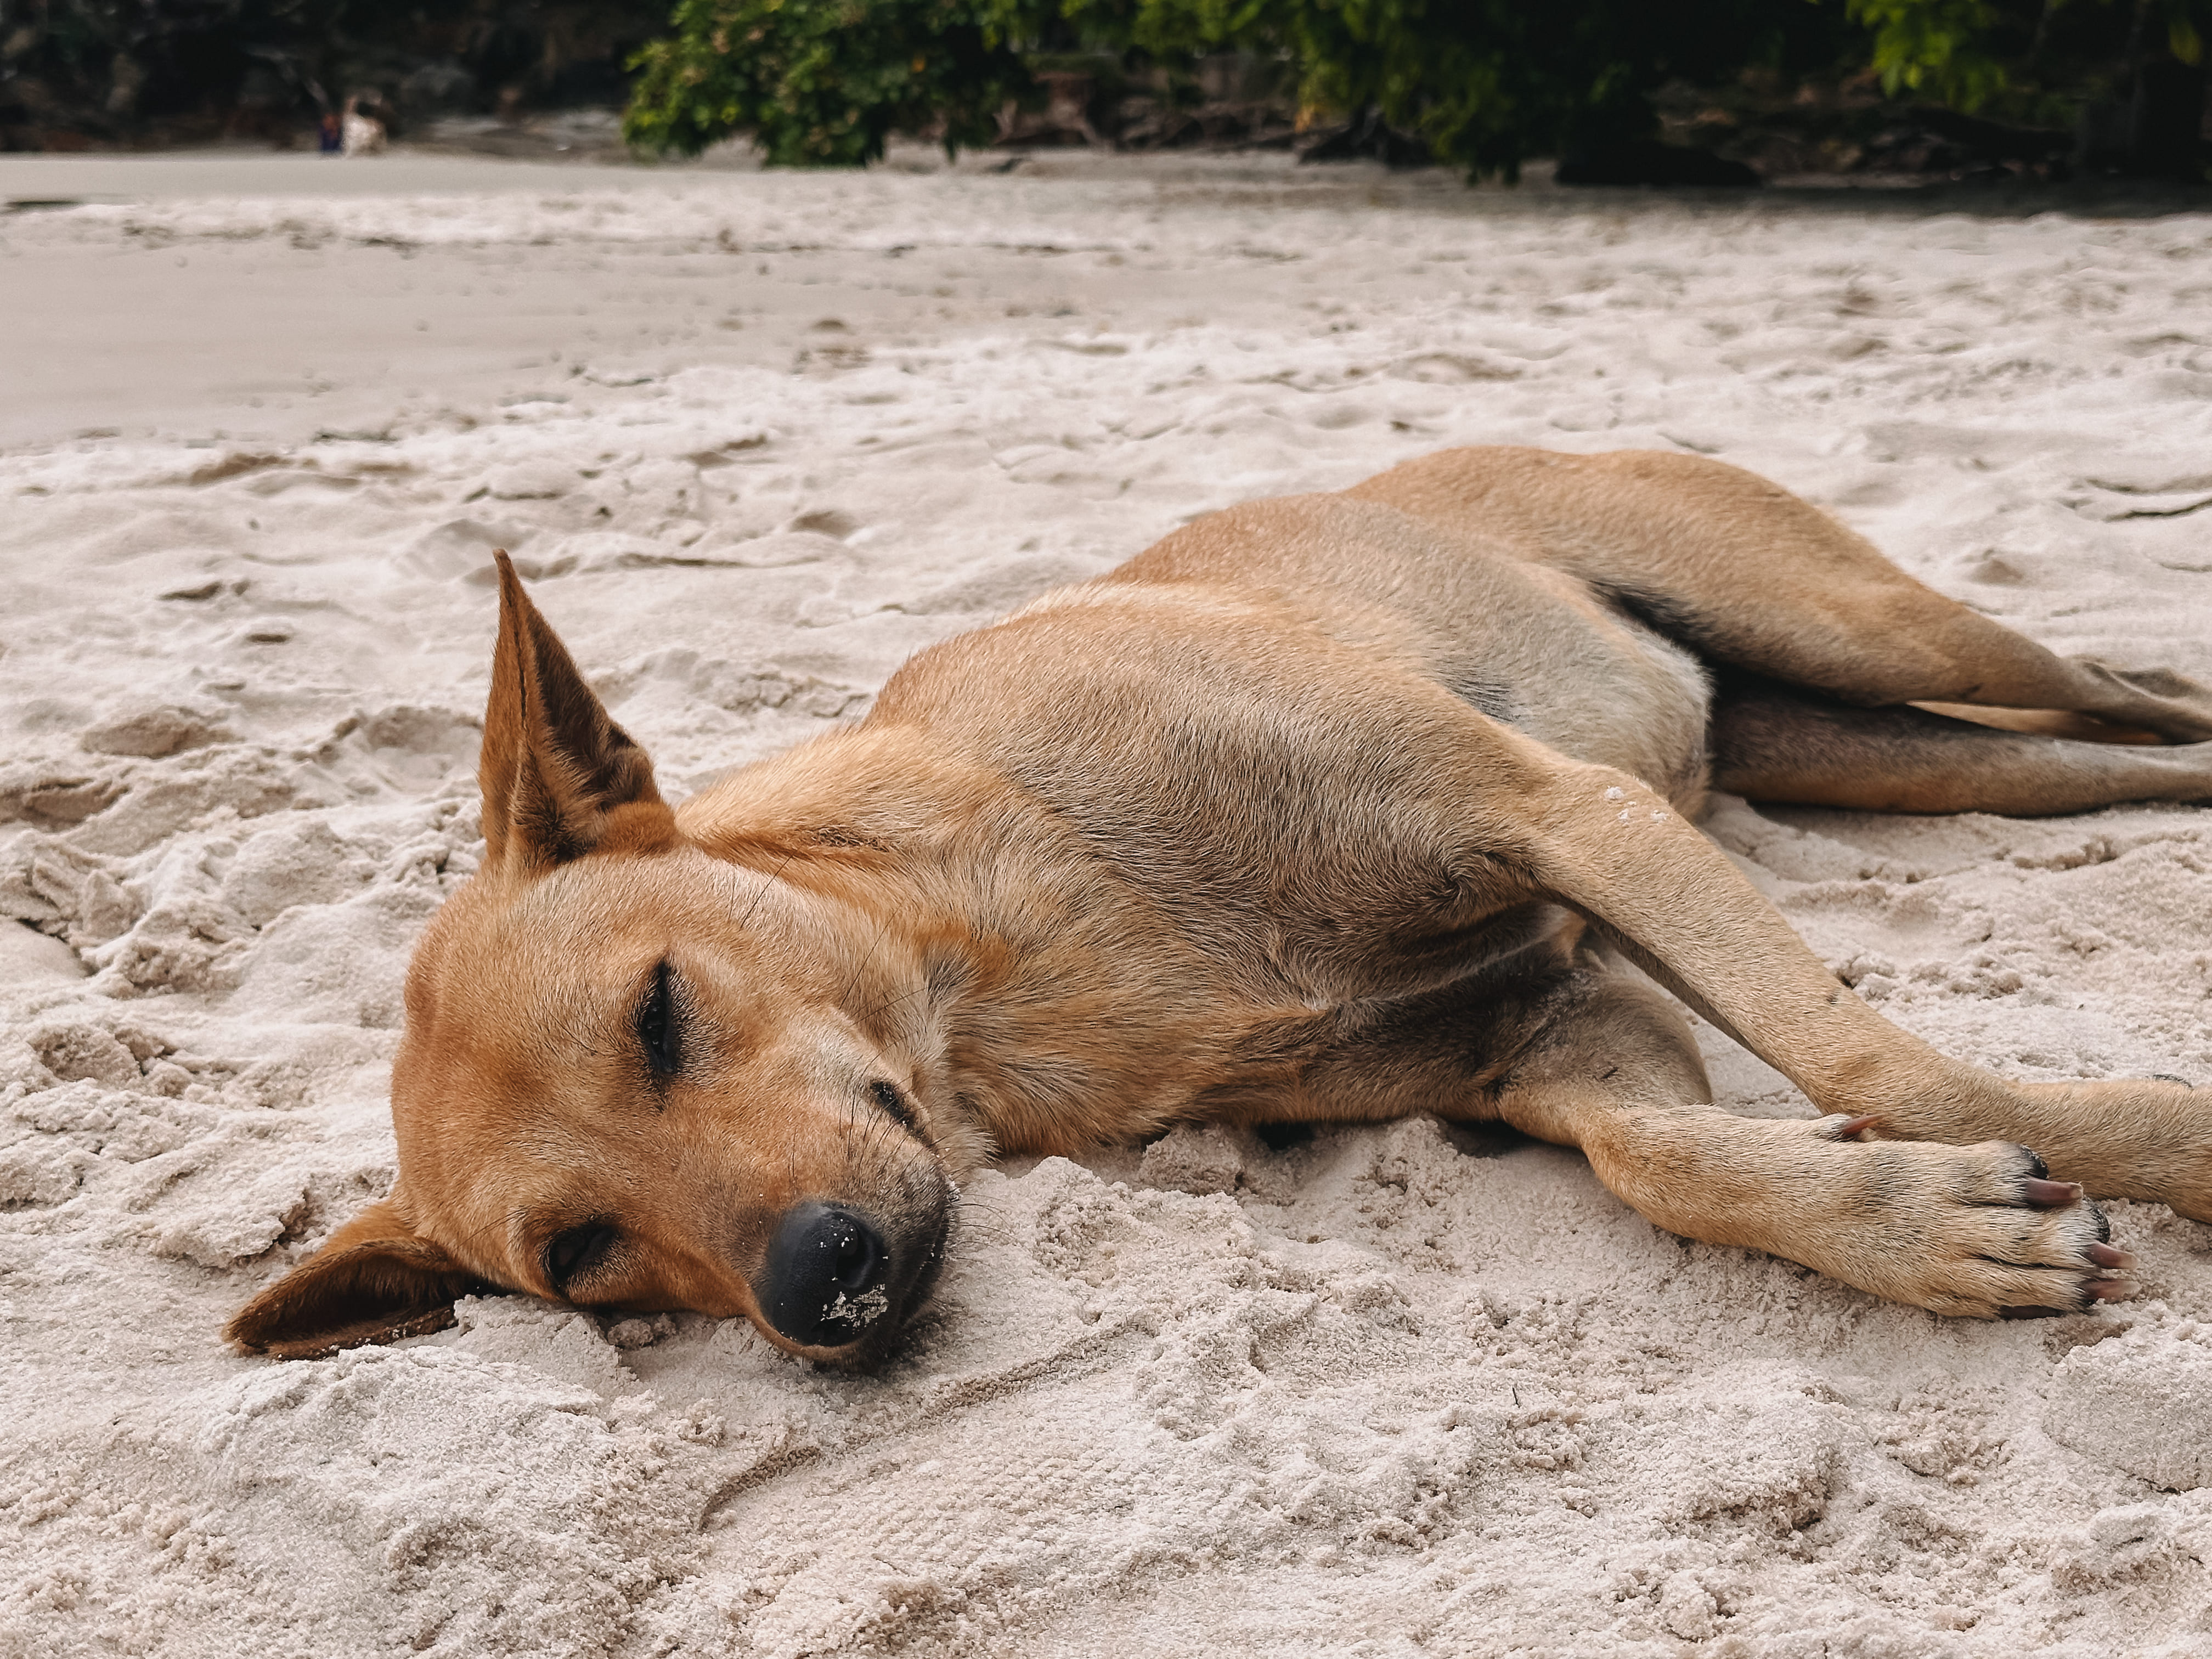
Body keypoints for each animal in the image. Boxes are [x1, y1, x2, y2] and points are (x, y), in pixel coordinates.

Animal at [224, 449, 2212, 1371]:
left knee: (2118, 690)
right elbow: (1667, 1156)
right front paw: (1917, 1222)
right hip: (1872, 752)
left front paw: (2145, 1147)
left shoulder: (1559, 816)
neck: (1007, 957)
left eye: (657, 1009)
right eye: (580, 1257)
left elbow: (1877, 1055)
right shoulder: (1560, 1025)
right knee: (2112, 758)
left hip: (1874, 627)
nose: (815, 1287)